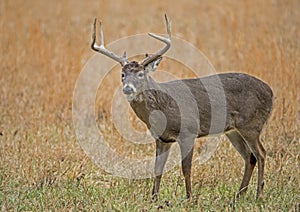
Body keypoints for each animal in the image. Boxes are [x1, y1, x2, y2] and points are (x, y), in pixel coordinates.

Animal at [91, 14, 274, 200]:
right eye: (122, 74)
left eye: (141, 74)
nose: (128, 88)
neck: (163, 109)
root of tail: (271, 92)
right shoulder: (162, 138)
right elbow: (157, 169)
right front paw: (154, 198)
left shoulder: (189, 131)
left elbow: (186, 168)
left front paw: (189, 198)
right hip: (233, 130)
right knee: (250, 157)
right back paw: (238, 196)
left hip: (251, 124)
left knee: (261, 153)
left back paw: (258, 195)